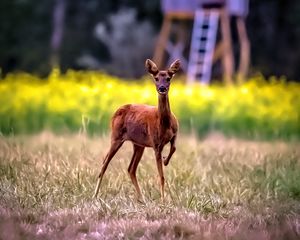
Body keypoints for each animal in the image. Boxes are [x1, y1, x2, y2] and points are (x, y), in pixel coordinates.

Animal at [92, 58, 179, 201]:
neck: (164, 124)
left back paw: (142, 199)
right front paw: (163, 200)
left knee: (131, 169)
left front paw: (166, 160)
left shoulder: (174, 135)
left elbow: (174, 148)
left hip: (138, 144)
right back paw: (95, 195)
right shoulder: (156, 144)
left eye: (168, 78)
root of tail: (116, 111)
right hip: (116, 137)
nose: (162, 88)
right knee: (105, 163)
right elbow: (161, 176)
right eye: (156, 78)